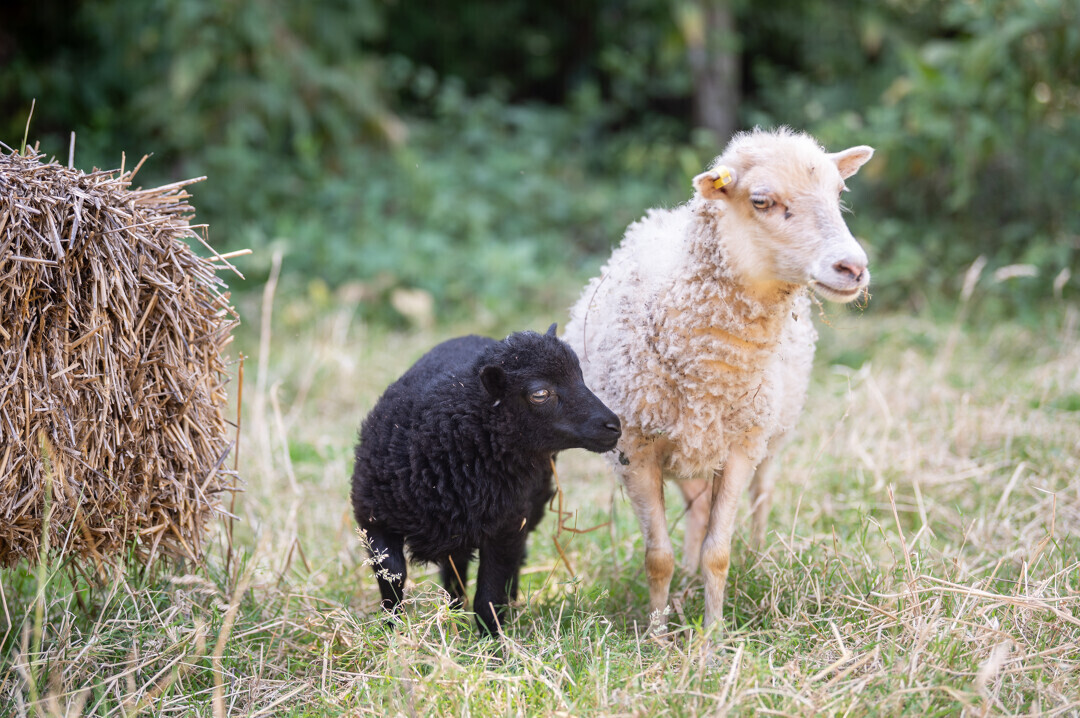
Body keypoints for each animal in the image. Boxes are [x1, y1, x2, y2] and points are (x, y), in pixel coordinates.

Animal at [350, 324, 621, 636]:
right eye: (540, 393)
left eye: (581, 377)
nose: (614, 426)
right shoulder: (374, 519)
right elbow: (392, 579)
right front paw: (392, 630)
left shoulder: (506, 527)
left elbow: (490, 594)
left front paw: (493, 642)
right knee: (454, 567)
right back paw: (454, 611)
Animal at [564, 127, 874, 632]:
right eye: (762, 200)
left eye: (839, 193)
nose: (853, 268)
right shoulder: (636, 449)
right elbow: (658, 558)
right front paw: (657, 634)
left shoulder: (742, 447)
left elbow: (719, 553)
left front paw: (713, 634)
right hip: (688, 450)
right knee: (696, 512)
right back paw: (687, 581)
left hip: (771, 434)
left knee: (761, 498)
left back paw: (758, 559)